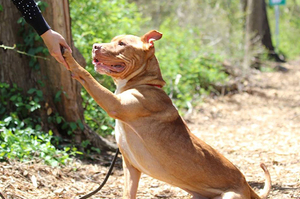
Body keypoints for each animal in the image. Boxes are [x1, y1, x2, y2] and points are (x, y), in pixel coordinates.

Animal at [62, 29, 270, 199]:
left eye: (122, 44)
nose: (95, 46)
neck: (144, 82)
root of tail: (247, 186)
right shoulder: (131, 167)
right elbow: (128, 194)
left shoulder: (115, 104)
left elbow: (86, 74)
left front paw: (69, 57)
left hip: (230, 196)